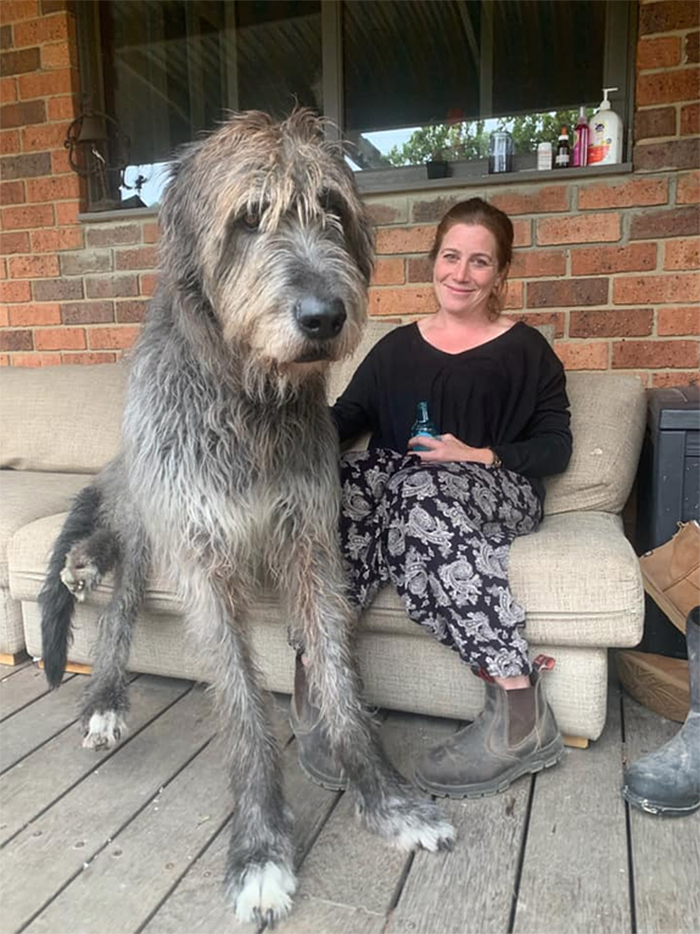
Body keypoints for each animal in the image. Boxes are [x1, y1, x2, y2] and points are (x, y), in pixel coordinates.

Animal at [39, 109, 454, 928]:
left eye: (333, 210)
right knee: (121, 589)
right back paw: (100, 671)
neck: (249, 398)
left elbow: (336, 678)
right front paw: (260, 846)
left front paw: (387, 800)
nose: (324, 317)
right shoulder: (197, 548)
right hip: (148, 500)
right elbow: (239, 703)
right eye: (249, 218)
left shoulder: (310, 540)